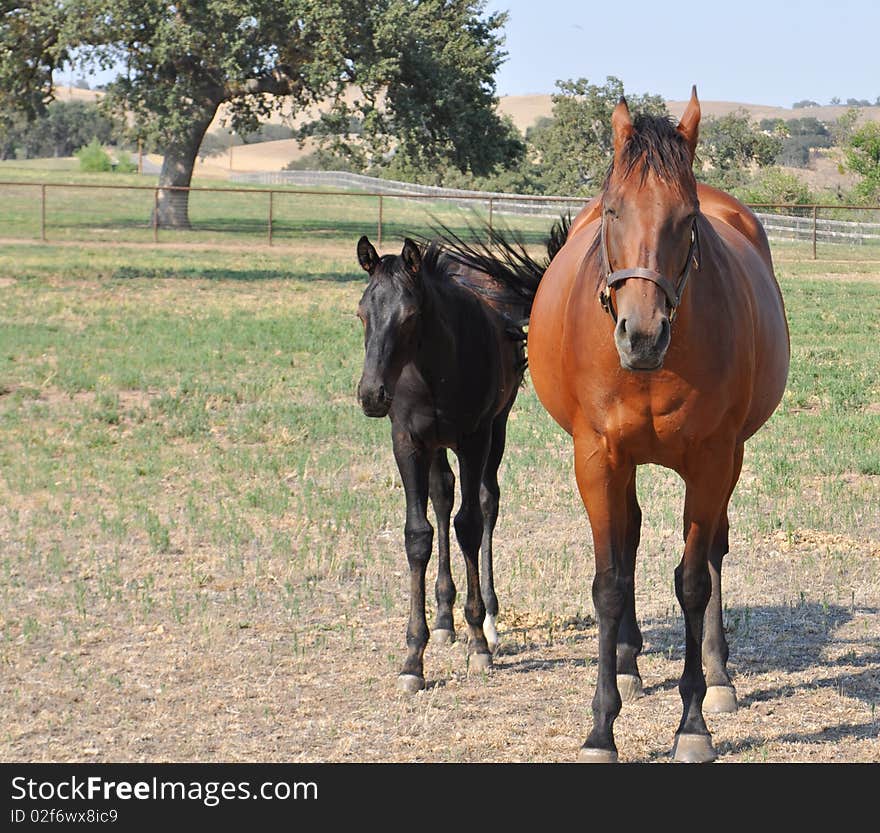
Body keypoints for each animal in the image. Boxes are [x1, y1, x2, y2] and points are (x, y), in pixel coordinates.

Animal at [354, 231, 560, 692]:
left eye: (410, 316)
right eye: (361, 313)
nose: (372, 395)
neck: (434, 370)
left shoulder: (473, 438)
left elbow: (470, 524)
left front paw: (478, 639)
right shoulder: (408, 443)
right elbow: (418, 535)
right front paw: (414, 658)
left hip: (496, 428)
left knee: (485, 502)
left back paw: (489, 622)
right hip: (436, 447)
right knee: (442, 496)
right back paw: (445, 619)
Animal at [524, 89, 792, 760]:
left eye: (687, 217)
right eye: (613, 211)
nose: (641, 335)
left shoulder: (712, 461)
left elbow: (693, 581)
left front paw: (692, 725)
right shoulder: (597, 458)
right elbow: (609, 582)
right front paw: (600, 728)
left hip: (729, 460)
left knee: (714, 552)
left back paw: (719, 676)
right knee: (629, 543)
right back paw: (626, 664)